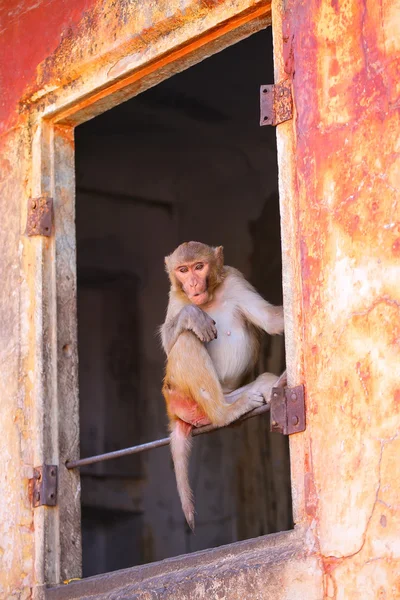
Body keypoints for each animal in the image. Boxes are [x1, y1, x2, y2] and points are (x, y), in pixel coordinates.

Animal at [159, 240, 284, 528]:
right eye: (183, 270)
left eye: (199, 267)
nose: (193, 283)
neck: (209, 298)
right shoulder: (176, 296)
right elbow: (170, 342)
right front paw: (192, 315)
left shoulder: (236, 280)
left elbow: (271, 320)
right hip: (178, 393)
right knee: (186, 338)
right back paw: (224, 413)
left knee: (263, 381)